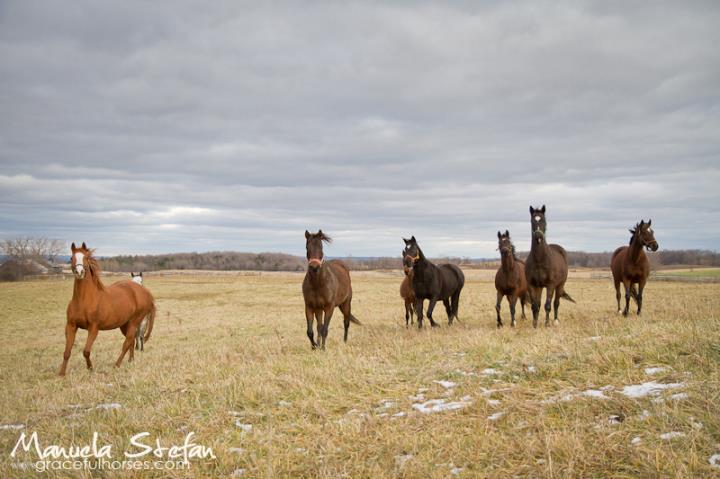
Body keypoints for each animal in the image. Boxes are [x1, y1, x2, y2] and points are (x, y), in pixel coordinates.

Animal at [58, 244, 155, 376]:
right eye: (71, 258)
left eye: (86, 258)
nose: (79, 272)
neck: (85, 300)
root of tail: (144, 292)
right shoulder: (71, 326)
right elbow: (67, 352)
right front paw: (61, 374)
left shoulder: (93, 328)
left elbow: (86, 351)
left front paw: (90, 368)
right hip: (125, 325)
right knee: (131, 341)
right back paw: (130, 360)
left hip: (134, 322)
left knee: (127, 342)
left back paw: (116, 365)